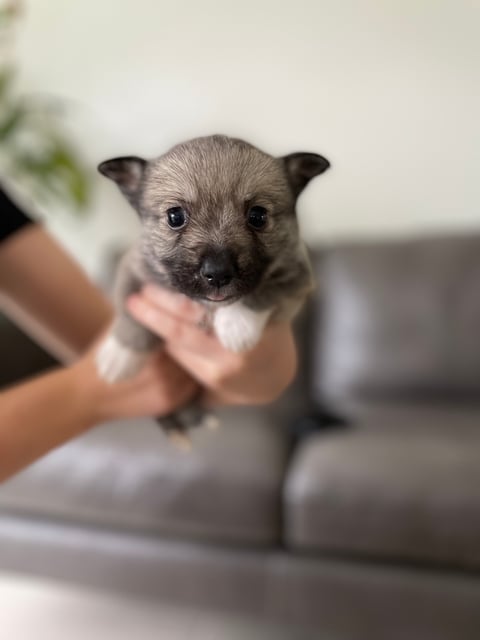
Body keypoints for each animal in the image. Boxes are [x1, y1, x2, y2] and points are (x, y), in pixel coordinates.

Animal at [96, 136, 330, 444]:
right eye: (175, 216)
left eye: (258, 216)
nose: (218, 273)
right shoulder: (132, 268)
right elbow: (128, 309)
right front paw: (120, 356)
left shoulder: (297, 279)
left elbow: (262, 292)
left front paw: (236, 325)